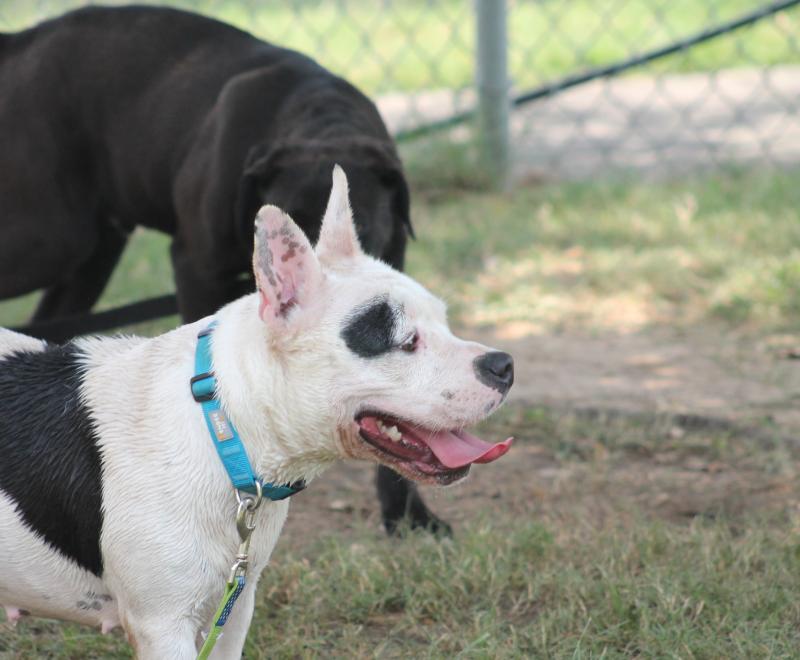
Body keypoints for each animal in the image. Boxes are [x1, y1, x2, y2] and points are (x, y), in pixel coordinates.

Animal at [0, 5, 450, 536]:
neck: (316, 119)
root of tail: (21, 42)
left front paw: (408, 515)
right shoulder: (196, 269)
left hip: (90, 252)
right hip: (47, 235)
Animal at [0, 168, 512, 656]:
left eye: (444, 321)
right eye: (406, 341)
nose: (504, 365)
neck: (224, 428)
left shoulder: (233, 609)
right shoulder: (163, 626)